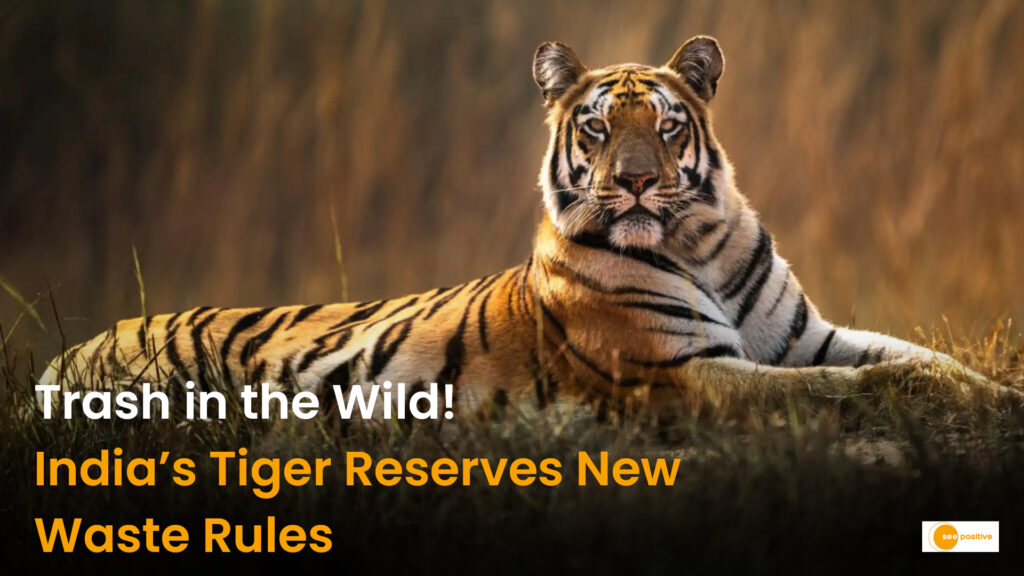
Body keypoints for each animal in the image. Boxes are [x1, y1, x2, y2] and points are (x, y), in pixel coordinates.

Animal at [37, 36, 1014, 420]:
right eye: (597, 128)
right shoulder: (683, 372)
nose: (633, 183)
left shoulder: (807, 337)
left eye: (665, 125)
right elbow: (857, 386)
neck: (695, 243)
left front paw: (1002, 397)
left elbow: (924, 359)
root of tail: (69, 351)